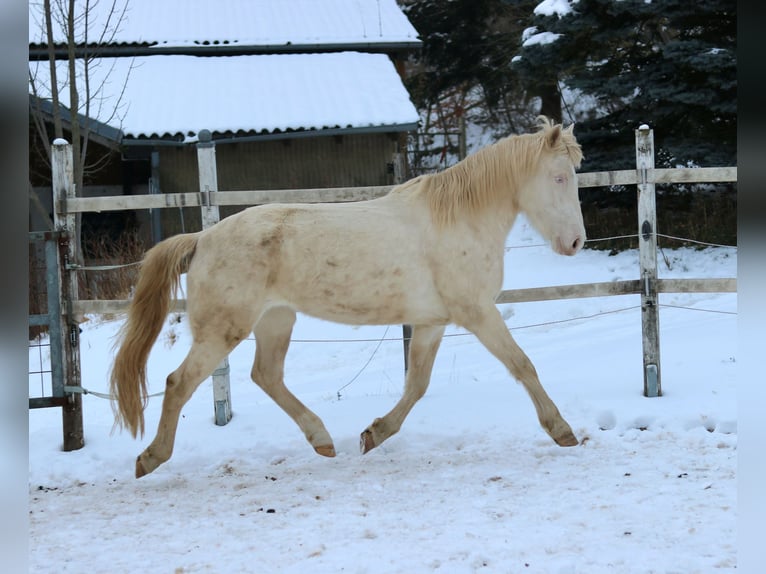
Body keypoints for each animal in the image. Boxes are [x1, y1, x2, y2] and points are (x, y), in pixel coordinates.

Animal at [110, 116, 585, 478]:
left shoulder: (432, 321)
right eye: (559, 178)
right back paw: (149, 459)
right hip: (223, 330)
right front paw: (563, 431)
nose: (576, 243)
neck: (457, 221)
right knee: (179, 382)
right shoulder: (477, 312)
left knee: (266, 375)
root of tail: (202, 239)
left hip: (276, 320)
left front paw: (373, 434)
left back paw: (322, 440)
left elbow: (417, 384)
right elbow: (522, 364)